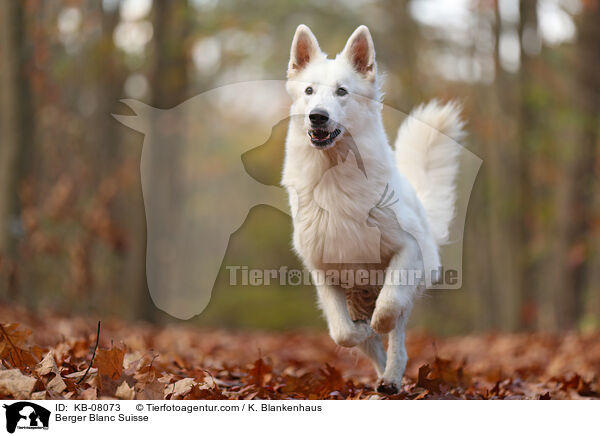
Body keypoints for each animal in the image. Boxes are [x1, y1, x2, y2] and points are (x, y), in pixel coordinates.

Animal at [282, 24, 464, 396]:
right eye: (309, 91)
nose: (317, 116)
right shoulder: (323, 271)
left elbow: (388, 307)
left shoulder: (406, 250)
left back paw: (392, 378)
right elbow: (343, 332)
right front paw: (361, 329)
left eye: (342, 92)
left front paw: (378, 322)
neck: (334, 173)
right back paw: (381, 376)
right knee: (369, 345)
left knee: (398, 341)